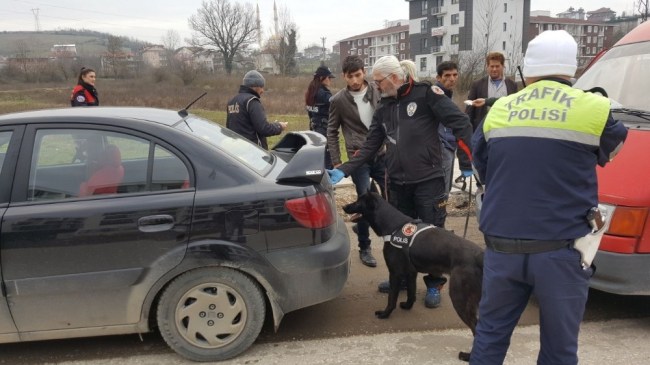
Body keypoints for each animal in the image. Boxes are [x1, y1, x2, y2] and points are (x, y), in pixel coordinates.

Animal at [342, 192, 484, 360]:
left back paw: (469, 356)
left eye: (358, 201)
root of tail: (479, 255)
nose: (343, 206)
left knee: (475, 327)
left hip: (459, 297)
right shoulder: (411, 273)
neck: (393, 226)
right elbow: (411, 293)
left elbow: (392, 298)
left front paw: (385, 313)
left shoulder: (395, 273)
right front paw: (407, 306)